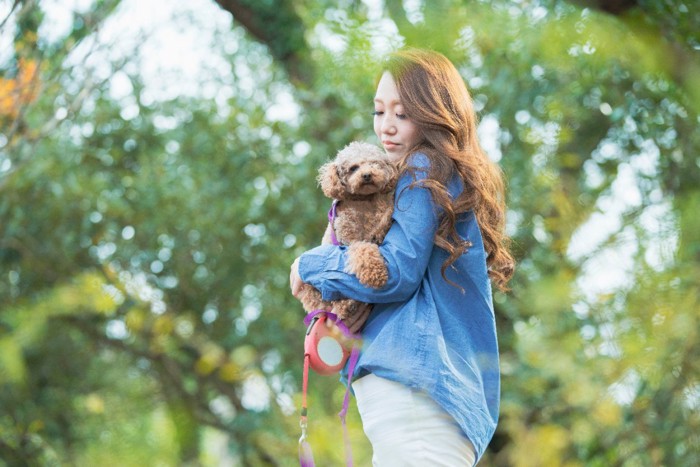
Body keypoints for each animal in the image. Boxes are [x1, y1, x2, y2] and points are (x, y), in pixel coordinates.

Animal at [296, 141, 400, 324]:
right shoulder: (349, 239)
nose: (367, 175)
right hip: (308, 288)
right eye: (353, 168)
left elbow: (384, 218)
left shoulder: (380, 224)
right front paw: (375, 274)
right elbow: (362, 249)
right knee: (323, 301)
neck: (363, 201)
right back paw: (345, 306)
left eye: (374, 163)